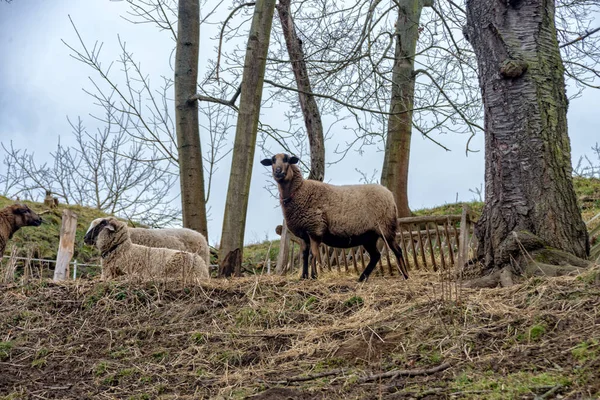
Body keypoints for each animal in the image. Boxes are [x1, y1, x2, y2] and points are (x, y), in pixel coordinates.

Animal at [260, 153, 410, 282]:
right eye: (272, 161)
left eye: (286, 159)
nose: (278, 171)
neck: (299, 191)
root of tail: (390, 194)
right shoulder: (304, 234)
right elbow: (304, 256)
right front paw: (303, 277)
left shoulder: (315, 229)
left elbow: (313, 254)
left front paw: (314, 276)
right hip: (369, 236)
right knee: (375, 255)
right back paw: (362, 278)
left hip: (386, 228)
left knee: (397, 250)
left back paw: (405, 275)